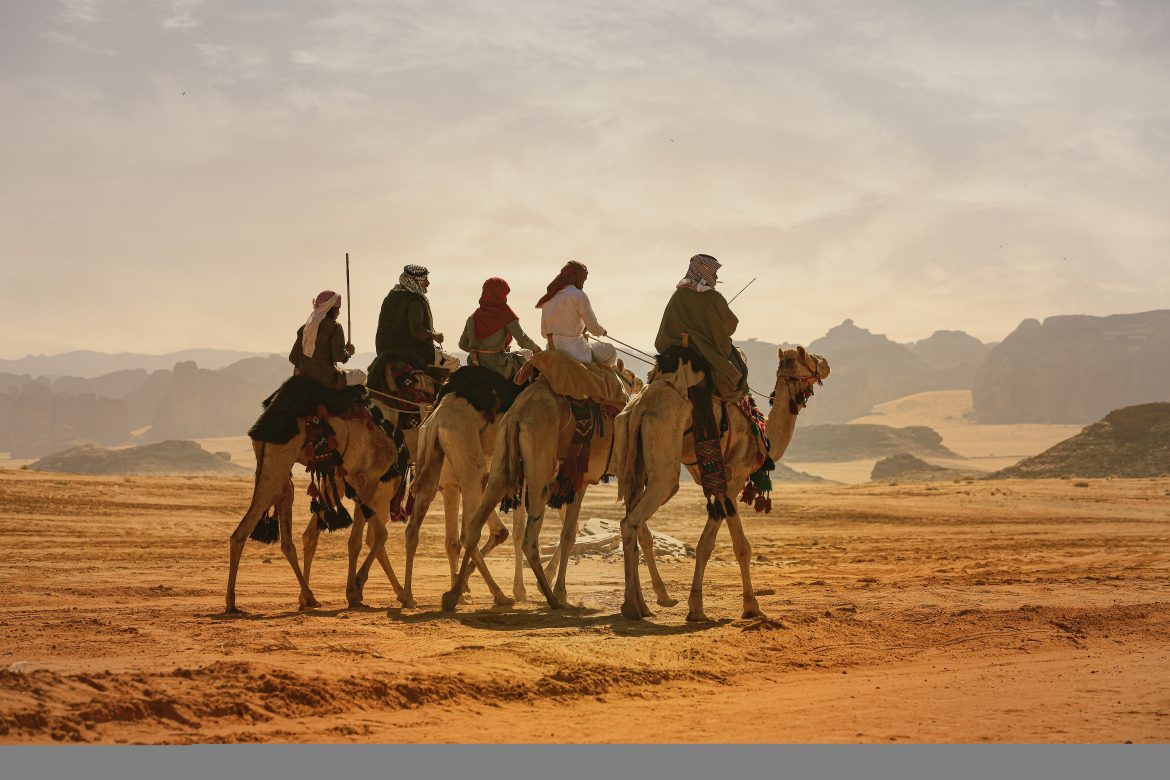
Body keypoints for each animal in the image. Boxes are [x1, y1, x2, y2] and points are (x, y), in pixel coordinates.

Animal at [613, 346, 833, 622]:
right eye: (809, 357)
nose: (825, 363)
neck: (763, 434)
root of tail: (641, 404)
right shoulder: (734, 479)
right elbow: (740, 546)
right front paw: (750, 606)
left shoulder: (719, 483)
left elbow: (704, 545)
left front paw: (696, 607)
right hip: (664, 463)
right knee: (631, 521)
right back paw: (633, 605)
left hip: (633, 464)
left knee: (637, 522)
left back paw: (646, 604)